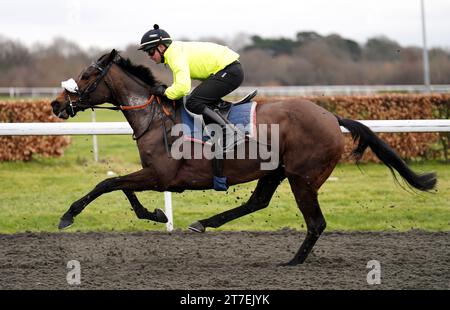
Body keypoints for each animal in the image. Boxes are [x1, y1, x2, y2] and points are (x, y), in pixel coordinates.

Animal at [49, 49, 436, 266]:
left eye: (86, 75)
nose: (55, 104)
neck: (156, 117)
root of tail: (332, 116)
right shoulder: (153, 174)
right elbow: (121, 187)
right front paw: (156, 214)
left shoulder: (161, 175)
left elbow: (108, 184)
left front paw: (68, 215)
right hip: (277, 171)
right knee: (257, 202)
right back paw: (204, 222)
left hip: (303, 177)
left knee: (316, 223)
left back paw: (293, 262)